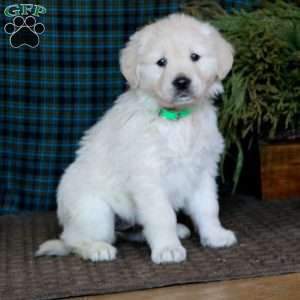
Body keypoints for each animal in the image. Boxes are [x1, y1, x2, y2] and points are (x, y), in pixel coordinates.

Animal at [35, 13, 237, 262]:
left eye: (195, 57)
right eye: (161, 62)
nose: (181, 82)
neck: (176, 120)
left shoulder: (203, 170)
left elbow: (208, 207)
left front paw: (215, 236)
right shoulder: (148, 176)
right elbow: (162, 215)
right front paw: (168, 249)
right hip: (95, 212)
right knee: (74, 240)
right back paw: (97, 249)